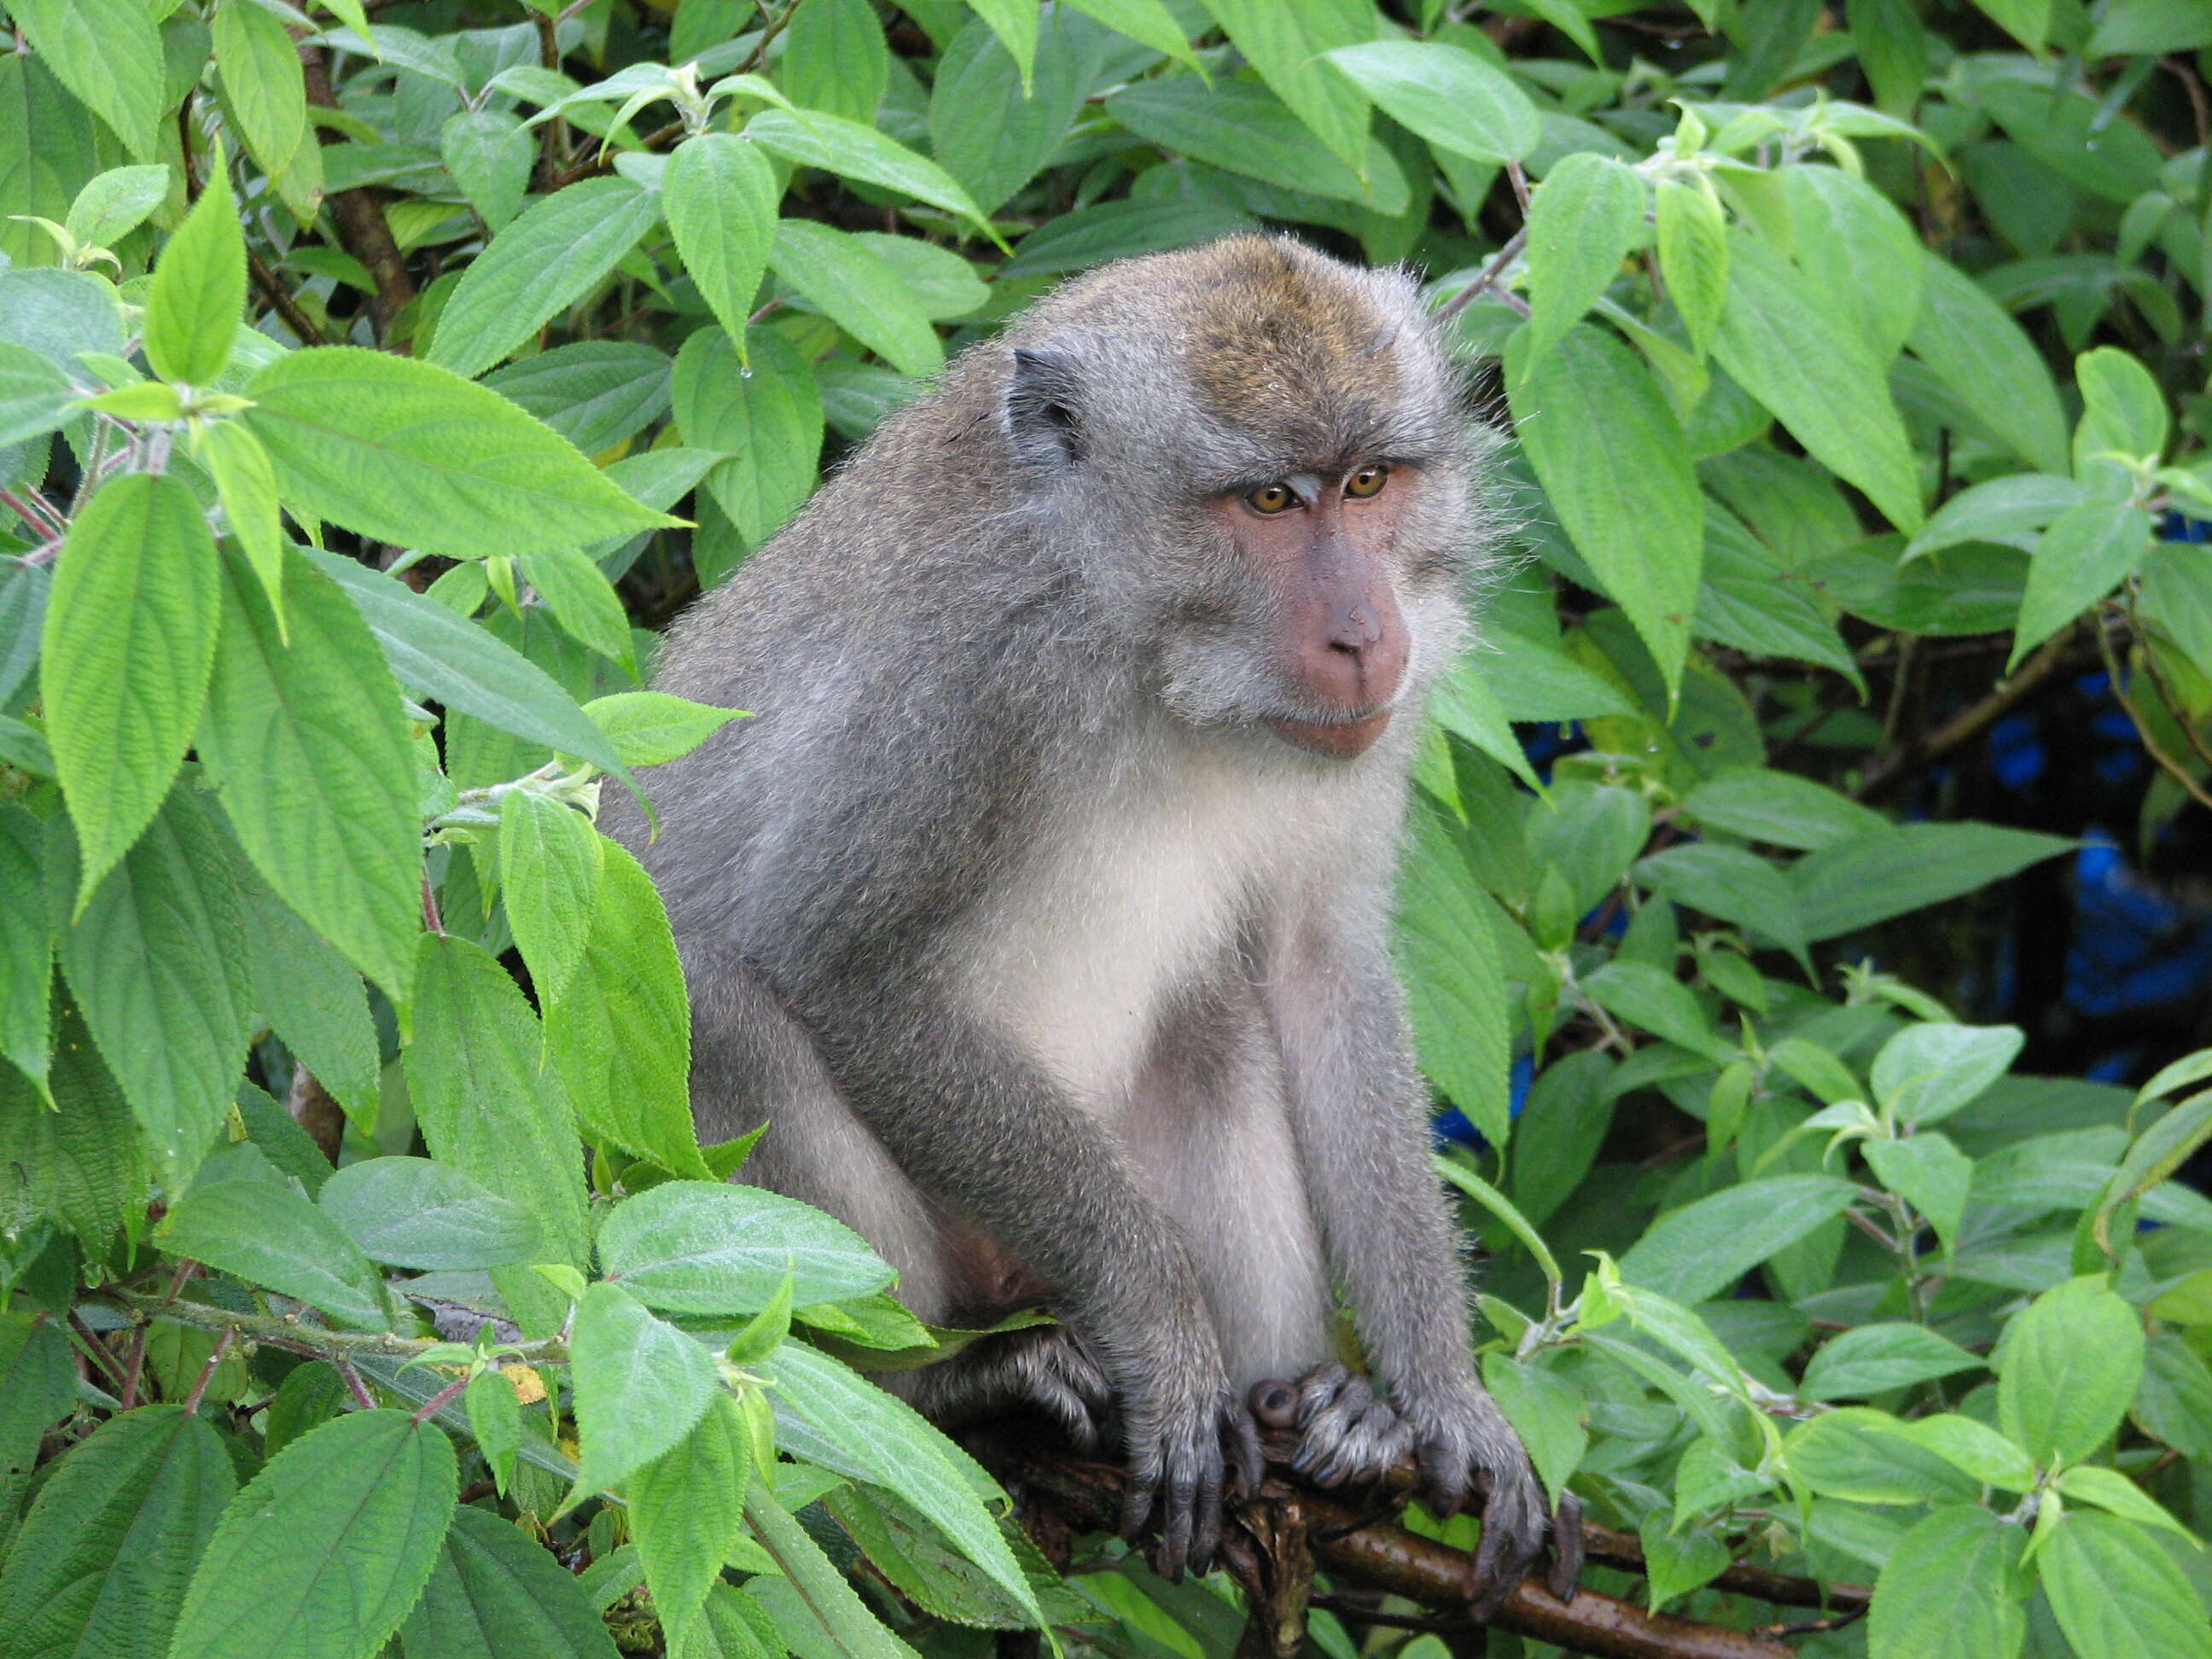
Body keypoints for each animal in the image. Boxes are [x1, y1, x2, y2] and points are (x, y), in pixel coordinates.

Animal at [614, 234, 1566, 1610]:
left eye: (1367, 482)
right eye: (1268, 502)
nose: (1361, 634)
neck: (1151, 649)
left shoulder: (1374, 724)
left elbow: (1319, 968)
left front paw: (1441, 1398)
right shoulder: (969, 673)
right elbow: (845, 977)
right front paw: (1162, 1331)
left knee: (1215, 1025)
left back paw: (1309, 1404)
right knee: (720, 997)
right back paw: (944, 1386)